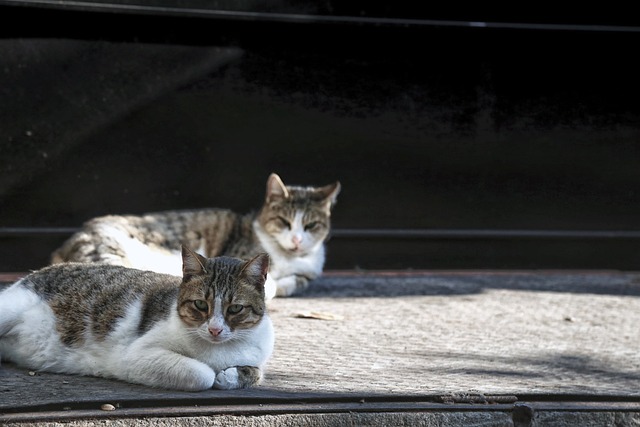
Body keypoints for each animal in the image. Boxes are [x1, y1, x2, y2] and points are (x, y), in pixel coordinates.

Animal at [0, 247, 272, 392]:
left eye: (235, 308)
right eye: (200, 305)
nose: (215, 330)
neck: (220, 350)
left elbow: (257, 373)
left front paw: (232, 376)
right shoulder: (135, 355)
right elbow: (203, 374)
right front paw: (216, 374)